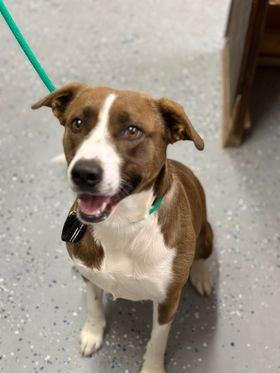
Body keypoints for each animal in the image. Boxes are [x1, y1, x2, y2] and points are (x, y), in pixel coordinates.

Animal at [32, 83, 212, 370]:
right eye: (77, 123)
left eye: (132, 130)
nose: (84, 172)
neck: (122, 224)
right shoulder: (92, 278)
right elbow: (94, 306)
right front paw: (93, 333)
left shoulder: (167, 302)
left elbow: (157, 342)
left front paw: (152, 368)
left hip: (206, 233)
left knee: (203, 256)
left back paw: (202, 276)